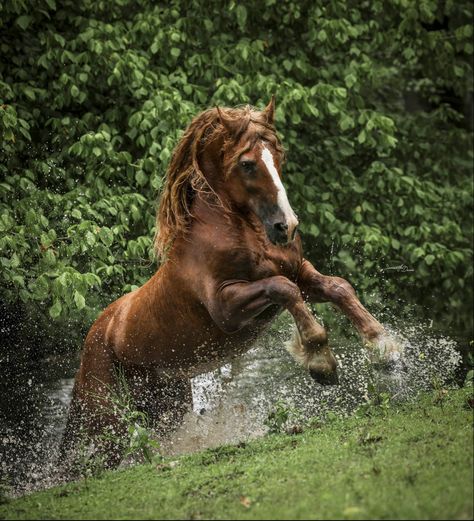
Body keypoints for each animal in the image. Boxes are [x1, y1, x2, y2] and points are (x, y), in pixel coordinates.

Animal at [60, 97, 400, 468]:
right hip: (106, 416)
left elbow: (337, 287)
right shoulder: (227, 308)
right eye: (248, 164)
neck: (238, 230)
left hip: (166, 405)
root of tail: (95, 335)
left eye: (279, 155)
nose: (286, 226)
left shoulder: (300, 271)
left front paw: (385, 347)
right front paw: (319, 360)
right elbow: (283, 289)